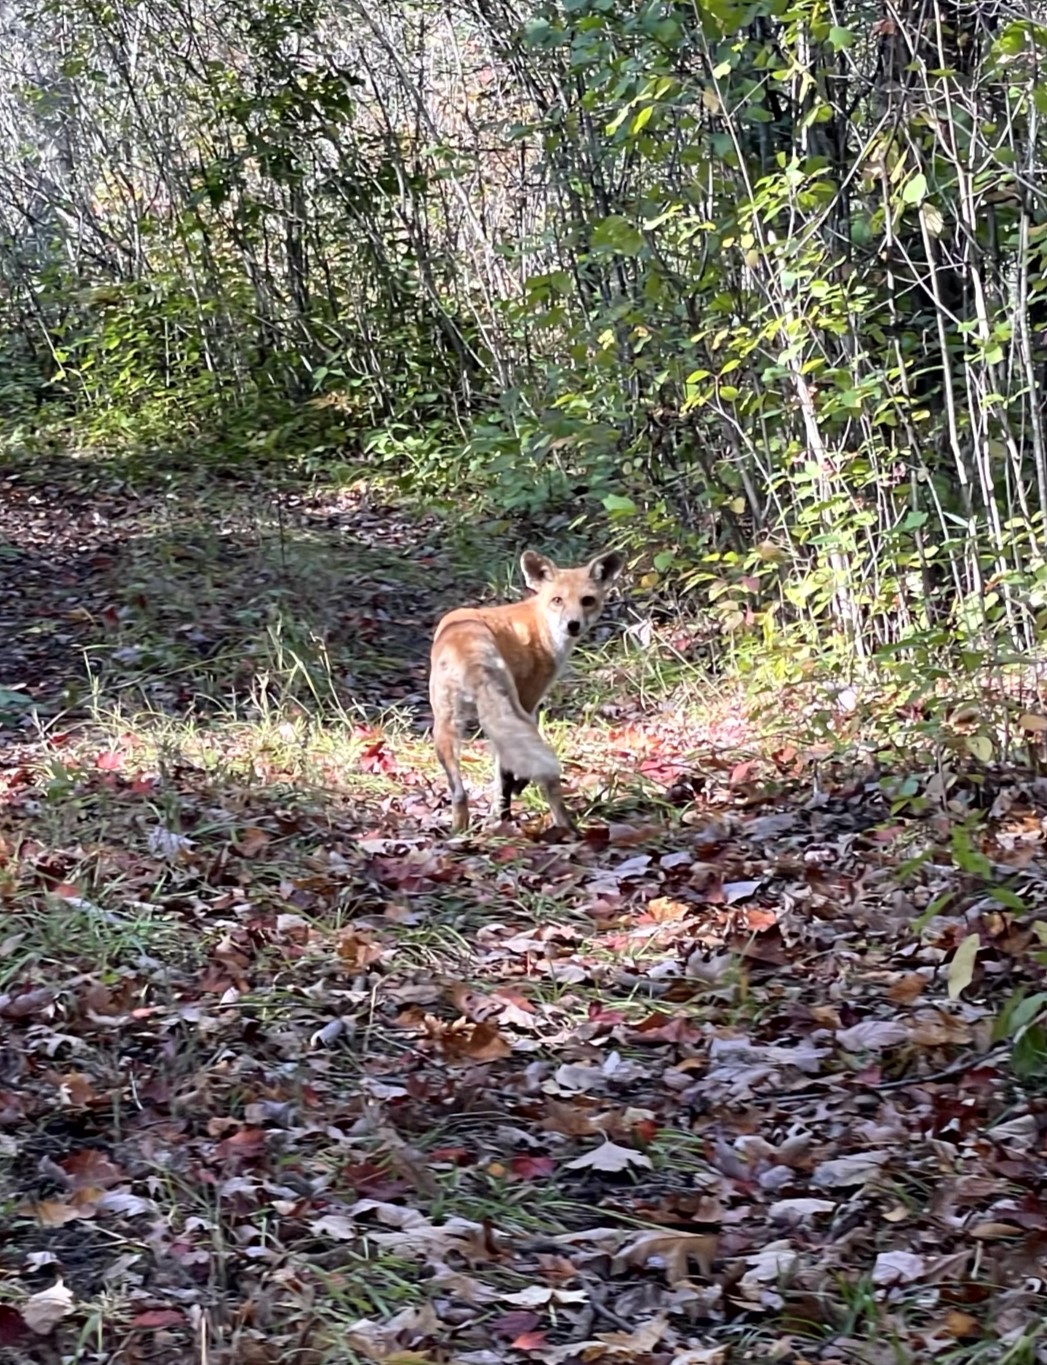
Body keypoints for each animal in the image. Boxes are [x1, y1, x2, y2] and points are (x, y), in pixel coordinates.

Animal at [429, 549, 625, 834]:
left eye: (587, 600)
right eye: (557, 600)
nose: (573, 625)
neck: (539, 624)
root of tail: (465, 644)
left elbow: (502, 776)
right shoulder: (529, 701)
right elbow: (509, 774)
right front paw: (517, 790)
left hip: (446, 727)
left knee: (460, 792)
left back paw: (465, 828)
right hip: (513, 713)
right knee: (546, 782)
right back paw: (568, 828)